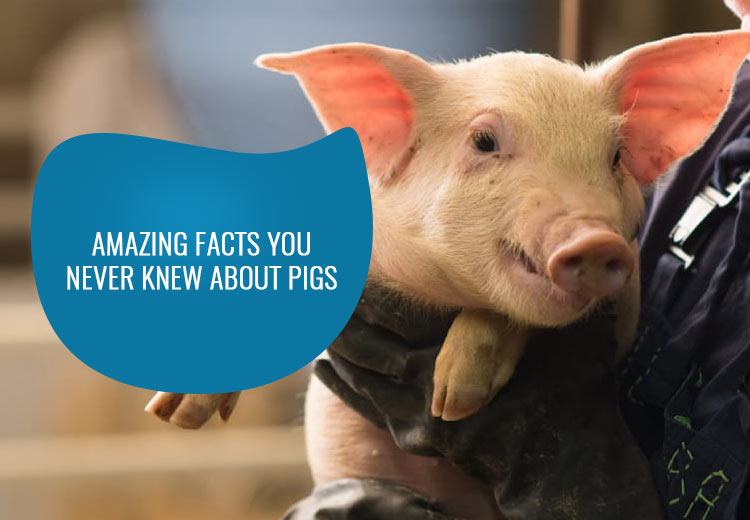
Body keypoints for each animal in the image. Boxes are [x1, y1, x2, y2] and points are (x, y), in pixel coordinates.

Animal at [146, 31, 750, 518]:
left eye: (616, 156)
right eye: (483, 141)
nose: (596, 240)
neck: (430, 293)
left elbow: (505, 316)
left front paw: (453, 399)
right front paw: (172, 415)